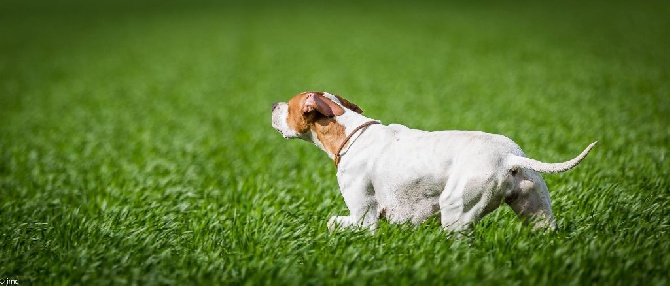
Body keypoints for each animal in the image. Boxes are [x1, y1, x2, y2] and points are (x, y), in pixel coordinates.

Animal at [272, 91, 600, 232]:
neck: (350, 132)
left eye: (290, 105)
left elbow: (332, 222)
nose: (273, 103)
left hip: (455, 211)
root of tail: (508, 157)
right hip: (537, 211)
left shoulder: (363, 218)